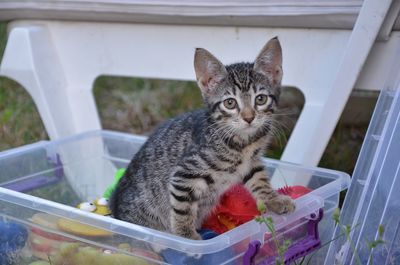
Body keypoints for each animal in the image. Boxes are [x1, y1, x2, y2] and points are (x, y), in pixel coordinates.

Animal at [111, 37, 296, 239]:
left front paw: (274, 199)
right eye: (230, 103)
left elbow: (259, 179)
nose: (249, 118)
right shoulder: (184, 175)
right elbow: (182, 208)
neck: (243, 143)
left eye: (260, 99)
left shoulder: (251, 163)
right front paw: (186, 237)